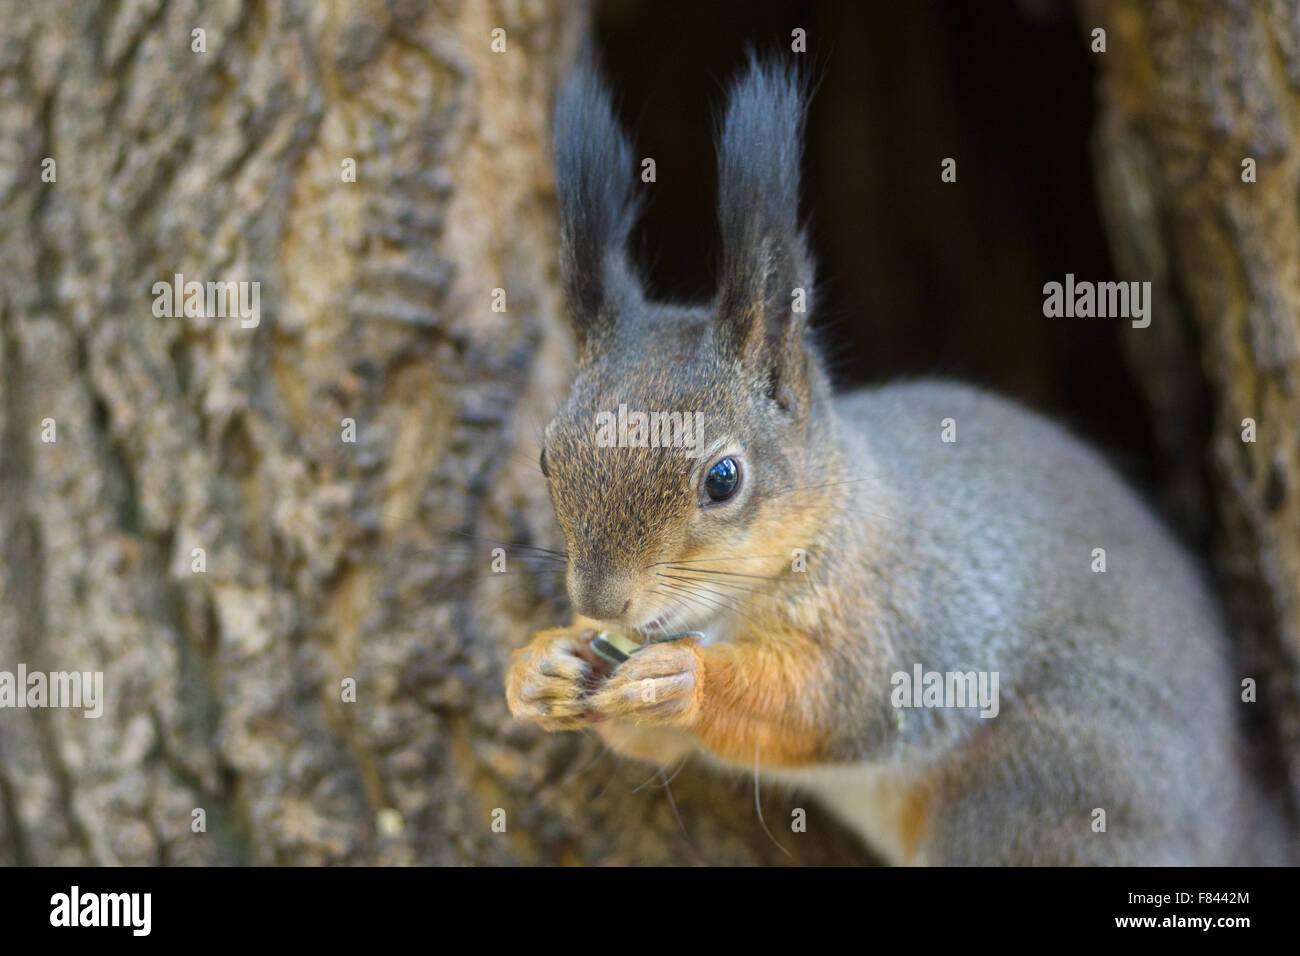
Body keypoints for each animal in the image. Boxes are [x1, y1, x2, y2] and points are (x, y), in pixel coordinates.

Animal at [504, 55, 1289, 868]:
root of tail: (1232, 814)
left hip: (1045, 793)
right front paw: (537, 667)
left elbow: (829, 701)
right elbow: (648, 744)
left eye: (723, 480)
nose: (602, 602)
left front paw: (680, 680)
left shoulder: (894, 617)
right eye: (547, 456)